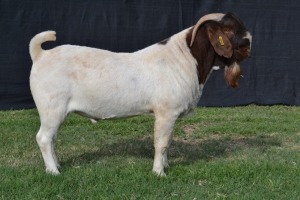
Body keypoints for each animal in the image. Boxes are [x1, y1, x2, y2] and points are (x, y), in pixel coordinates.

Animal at [29, 12, 251, 175]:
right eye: (230, 29)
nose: (249, 43)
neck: (184, 57)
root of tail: (40, 55)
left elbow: (168, 142)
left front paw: (166, 165)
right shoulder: (166, 113)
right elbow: (161, 143)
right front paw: (159, 172)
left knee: (51, 138)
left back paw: (56, 165)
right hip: (52, 108)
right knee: (43, 138)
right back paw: (53, 172)